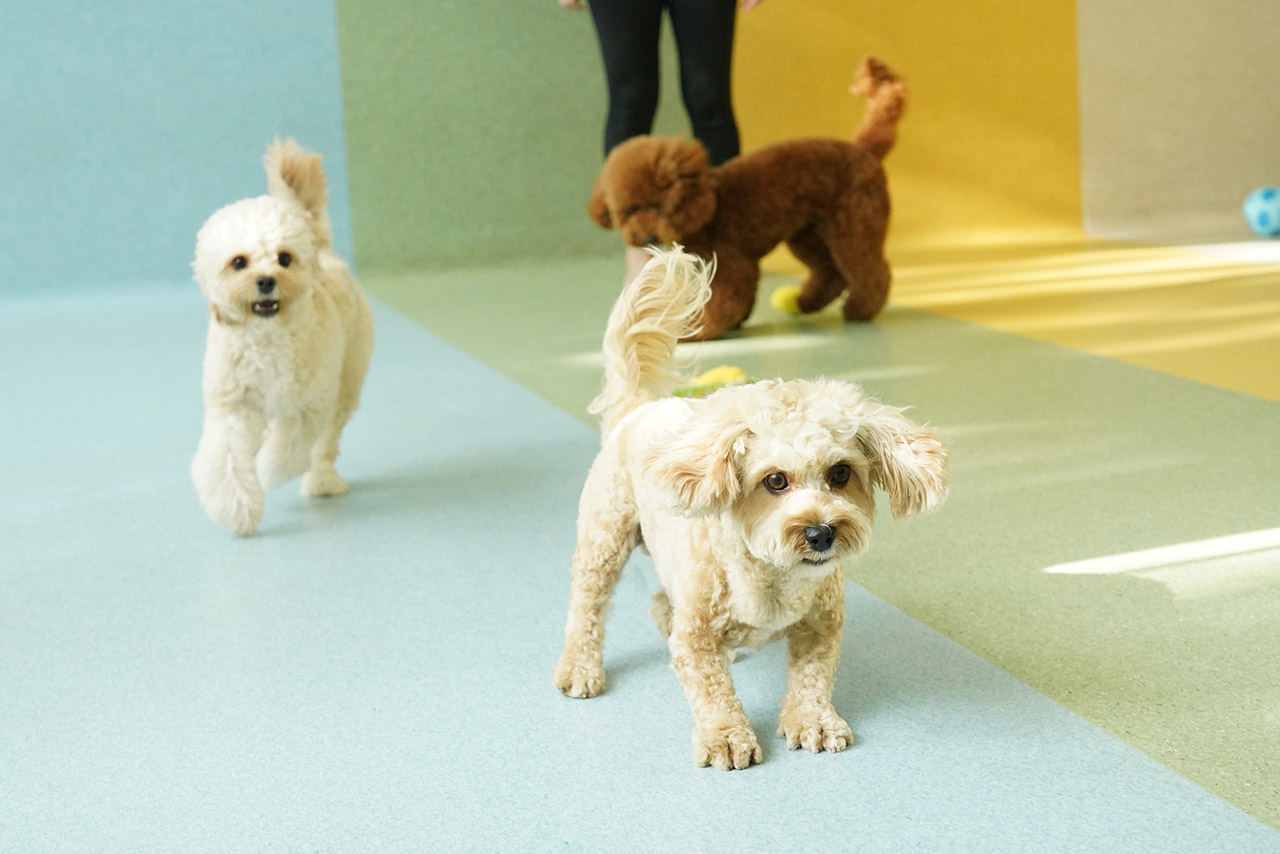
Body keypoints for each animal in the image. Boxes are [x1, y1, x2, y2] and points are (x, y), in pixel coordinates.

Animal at [188, 139, 373, 535]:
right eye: (238, 262)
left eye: (284, 259)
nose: (265, 281)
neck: (266, 340)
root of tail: (324, 248)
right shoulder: (232, 406)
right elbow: (226, 462)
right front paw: (238, 509)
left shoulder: (308, 408)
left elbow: (288, 451)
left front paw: (269, 472)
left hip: (345, 385)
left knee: (324, 445)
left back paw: (321, 481)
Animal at [552, 245, 952, 768]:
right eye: (775, 480)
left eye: (840, 474)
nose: (822, 532)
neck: (772, 575)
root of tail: (638, 407)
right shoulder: (698, 634)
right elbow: (710, 687)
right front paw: (726, 734)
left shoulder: (821, 625)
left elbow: (812, 677)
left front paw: (812, 719)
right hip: (605, 538)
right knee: (588, 606)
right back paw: (579, 666)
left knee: (661, 603)